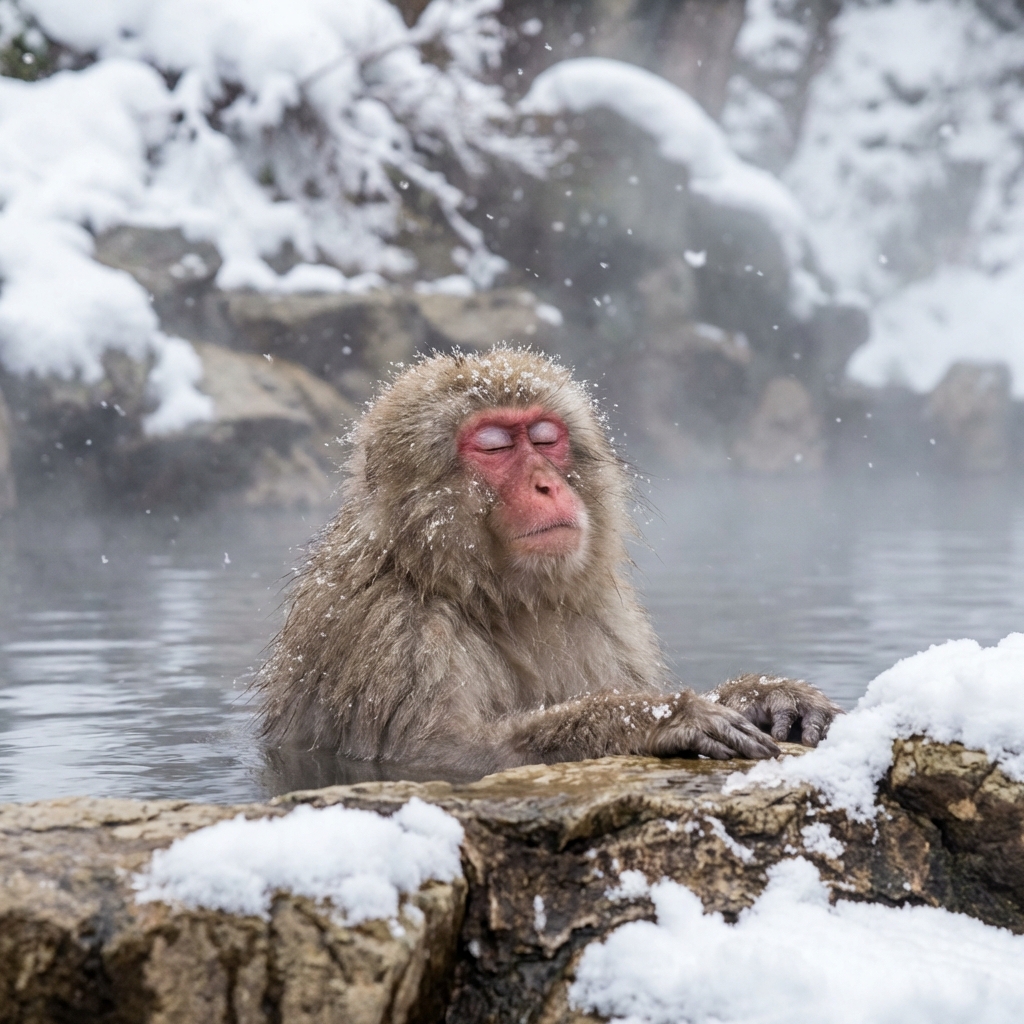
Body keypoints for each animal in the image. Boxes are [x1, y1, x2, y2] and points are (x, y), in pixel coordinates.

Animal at [257, 348, 840, 776]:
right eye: (493, 447)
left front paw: (762, 695)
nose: (546, 484)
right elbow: (444, 753)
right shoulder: (392, 633)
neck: (482, 591)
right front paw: (655, 718)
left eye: (544, 438)